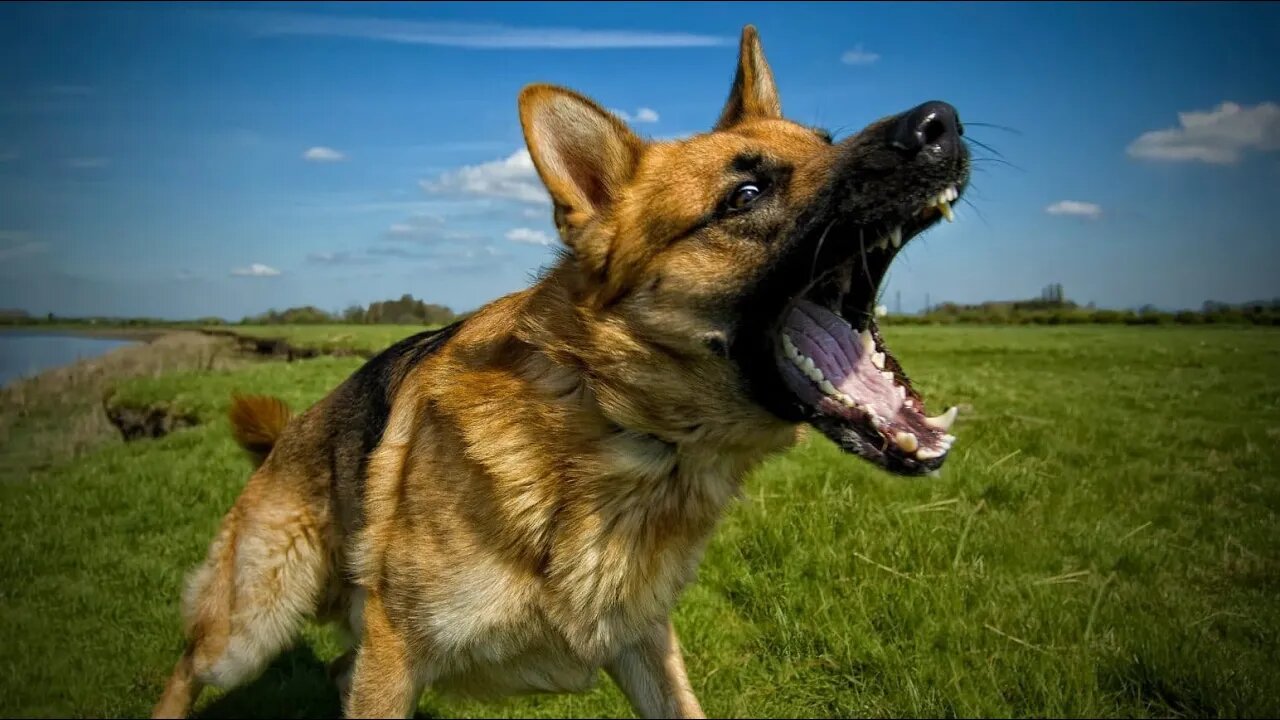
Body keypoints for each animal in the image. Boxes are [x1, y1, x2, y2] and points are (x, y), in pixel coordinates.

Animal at [152, 23, 967, 717]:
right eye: (746, 195)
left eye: (826, 141)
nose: (940, 122)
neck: (617, 427)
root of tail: (292, 432)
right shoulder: (395, 650)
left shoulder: (644, 645)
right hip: (252, 626)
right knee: (190, 665)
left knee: (330, 669)